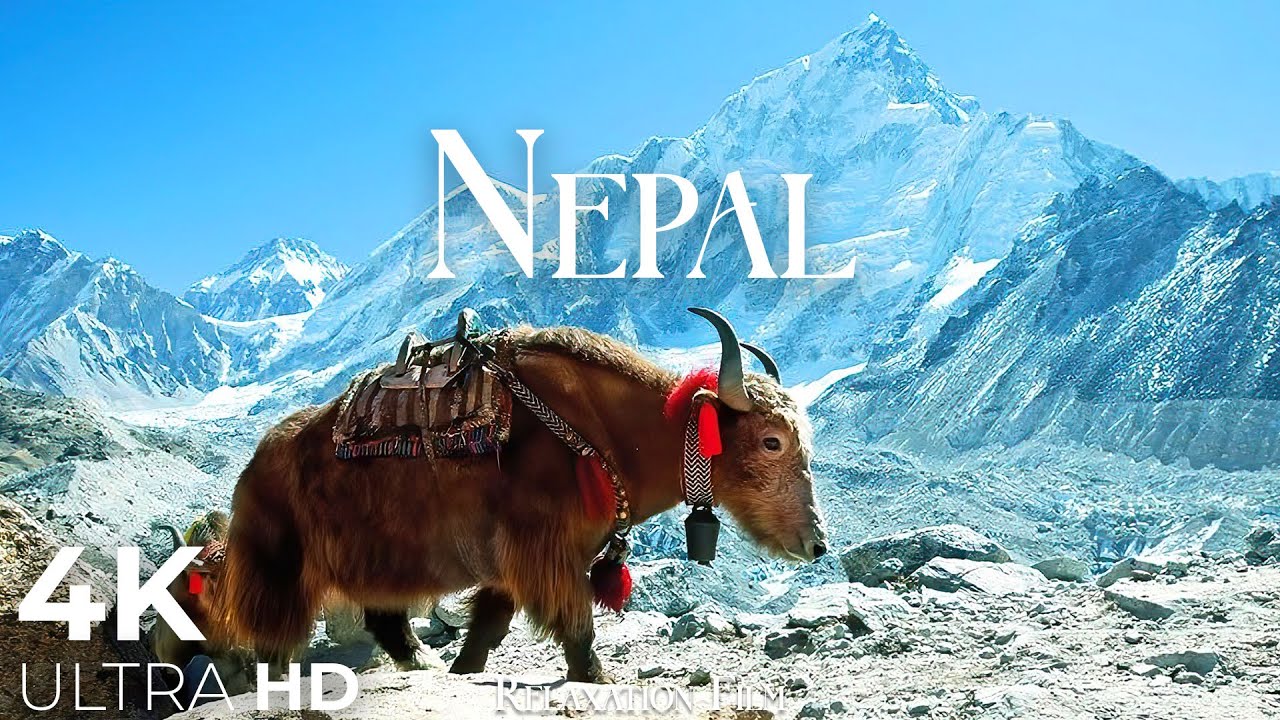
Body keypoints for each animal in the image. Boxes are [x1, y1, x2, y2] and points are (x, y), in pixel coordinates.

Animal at [210, 309, 828, 682]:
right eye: (772, 440)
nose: (817, 543)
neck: (609, 432)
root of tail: (255, 465)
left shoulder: (512, 565)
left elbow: (488, 626)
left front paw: (461, 671)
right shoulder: (544, 551)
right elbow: (576, 621)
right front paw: (595, 677)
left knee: (385, 620)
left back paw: (423, 665)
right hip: (280, 568)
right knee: (274, 638)